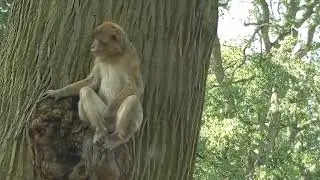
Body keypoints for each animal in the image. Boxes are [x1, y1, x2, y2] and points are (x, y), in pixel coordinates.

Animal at [44, 21, 144, 150]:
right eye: (94, 39)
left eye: (99, 40)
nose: (92, 46)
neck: (113, 56)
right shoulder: (98, 59)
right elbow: (92, 82)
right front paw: (59, 92)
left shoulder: (132, 57)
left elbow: (135, 87)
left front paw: (108, 114)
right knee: (85, 91)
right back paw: (99, 130)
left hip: (119, 124)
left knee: (133, 100)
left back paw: (117, 138)